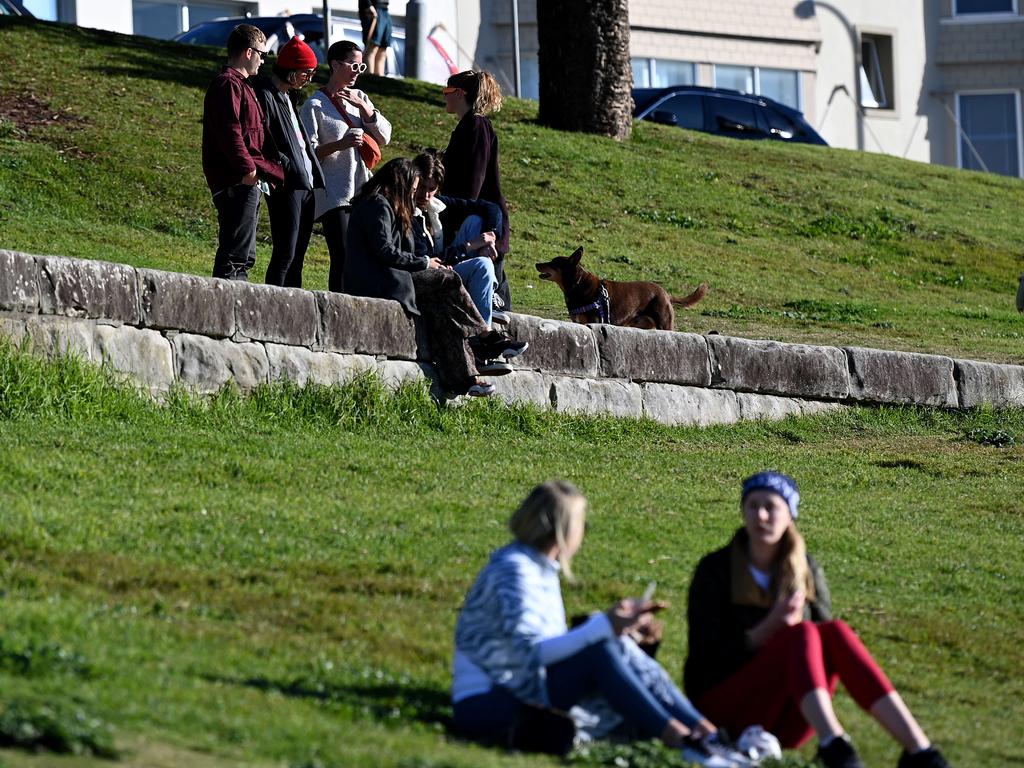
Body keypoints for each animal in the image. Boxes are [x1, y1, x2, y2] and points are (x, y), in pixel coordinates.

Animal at [532, 247, 708, 329]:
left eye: (553, 263)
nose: (536, 264)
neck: (577, 284)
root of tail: (666, 293)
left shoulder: (596, 320)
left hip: (664, 323)